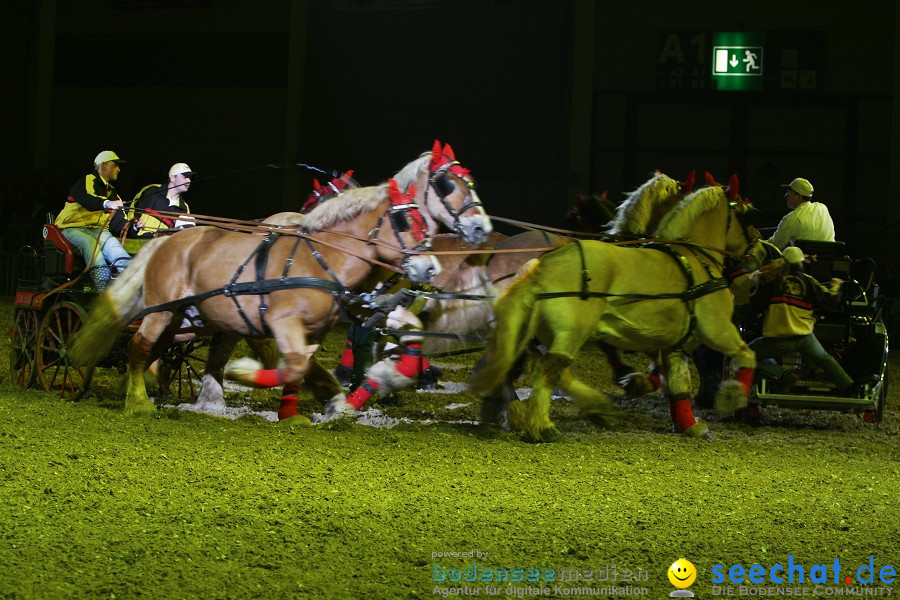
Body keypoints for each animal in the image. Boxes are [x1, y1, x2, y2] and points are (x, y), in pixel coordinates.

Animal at [68, 178, 442, 422]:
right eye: (406, 220)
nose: (431, 267)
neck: (318, 259)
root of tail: (166, 241)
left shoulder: (317, 328)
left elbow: (304, 366)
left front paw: (321, 402)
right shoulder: (281, 322)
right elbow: (292, 365)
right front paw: (246, 373)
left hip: (188, 319)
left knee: (160, 349)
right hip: (162, 310)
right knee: (139, 346)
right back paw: (137, 401)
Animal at [472, 180, 760, 442]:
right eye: (748, 216)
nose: (760, 251)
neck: (694, 259)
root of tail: (542, 266)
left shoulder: (675, 343)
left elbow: (678, 383)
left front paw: (688, 424)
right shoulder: (716, 329)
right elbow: (747, 355)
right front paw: (732, 398)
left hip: (546, 333)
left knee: (543, 368)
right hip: (571, 332)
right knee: (549, 369)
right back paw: (540, 426)